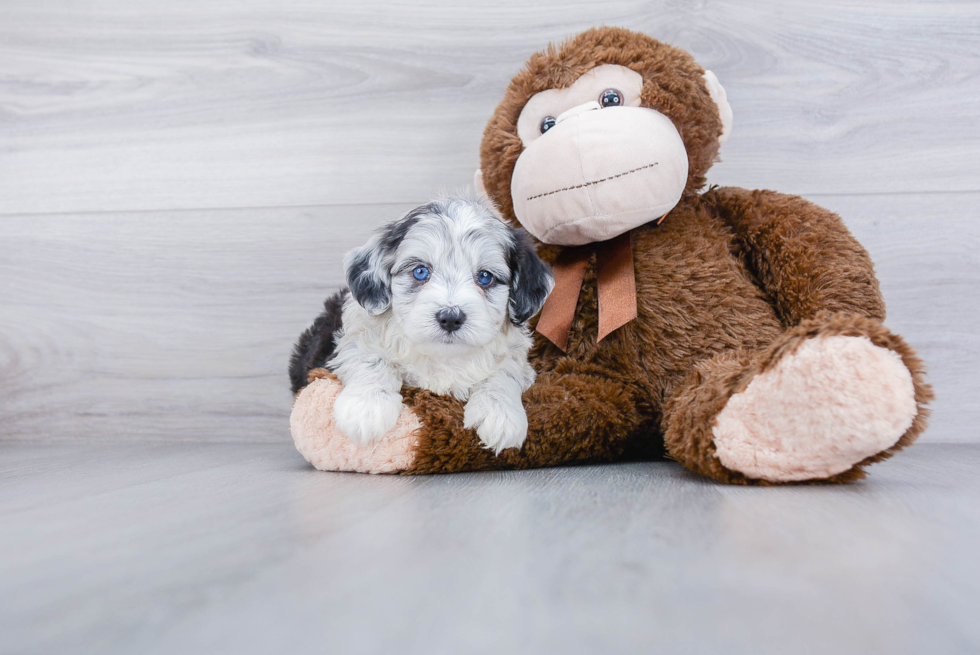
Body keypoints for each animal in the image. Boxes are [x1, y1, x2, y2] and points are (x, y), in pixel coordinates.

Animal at [288, 192, 556, 454]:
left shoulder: (516, 358)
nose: (450, 317)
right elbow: (369, 357)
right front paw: (367, 407)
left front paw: (500, 414)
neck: (442, 357)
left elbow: (504, 372)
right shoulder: (354, 337)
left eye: (484, 277)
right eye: (420, 272)